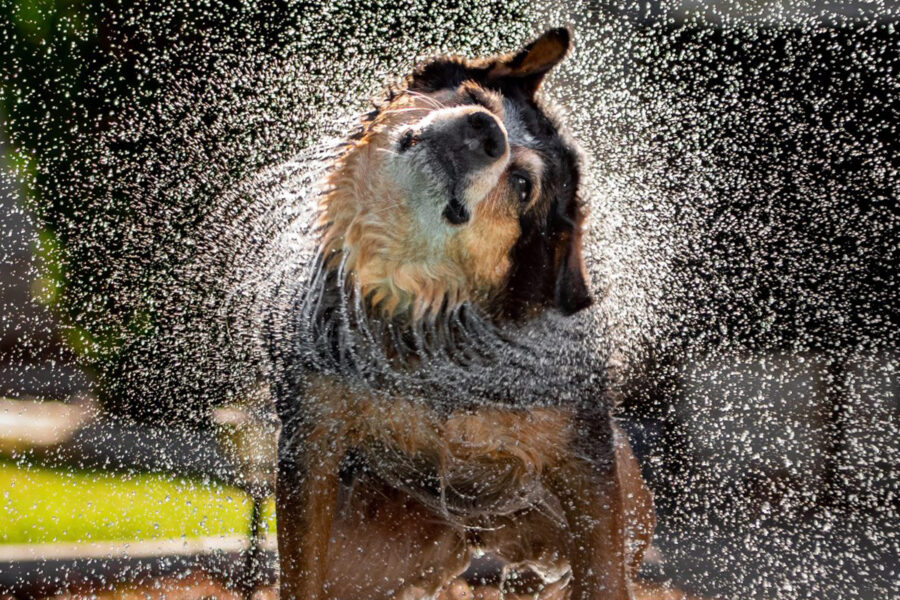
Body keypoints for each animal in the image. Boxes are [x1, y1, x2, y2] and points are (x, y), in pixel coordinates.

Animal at [272, 29, 652, 600]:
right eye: (477, 99)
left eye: (522, 185)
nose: (485, 130)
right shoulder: (311, 438)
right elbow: (303, 570)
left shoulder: (588, 464)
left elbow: (602, 571)